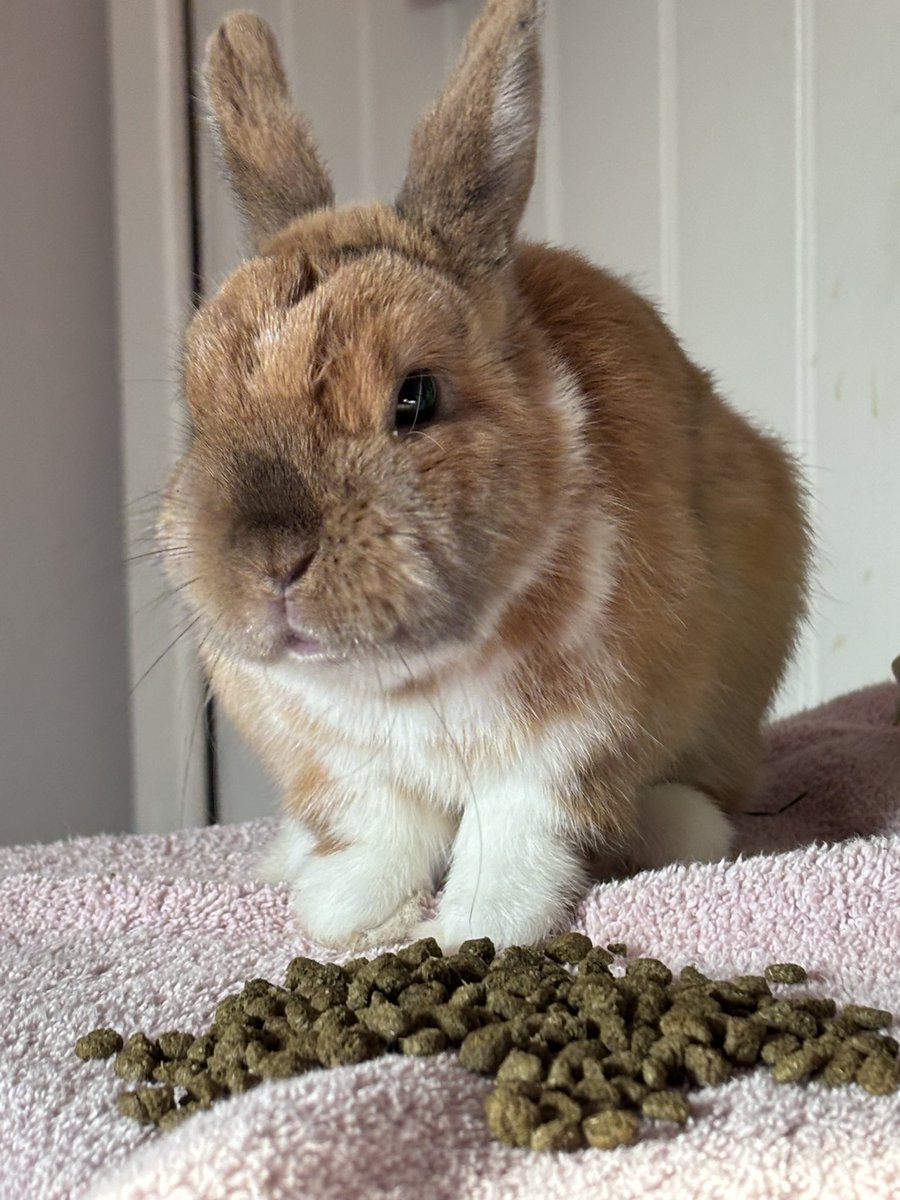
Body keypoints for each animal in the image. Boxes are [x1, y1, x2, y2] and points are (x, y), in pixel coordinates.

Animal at [158, 0, 810, 952]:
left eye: (416, 397)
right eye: (196, 404)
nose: (272, 559)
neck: (407, 676)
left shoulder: (568, 744)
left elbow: (513, 831)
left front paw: (479, 928)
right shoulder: (342, 767)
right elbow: (382, 830)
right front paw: (349, 914)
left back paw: (681, 828)